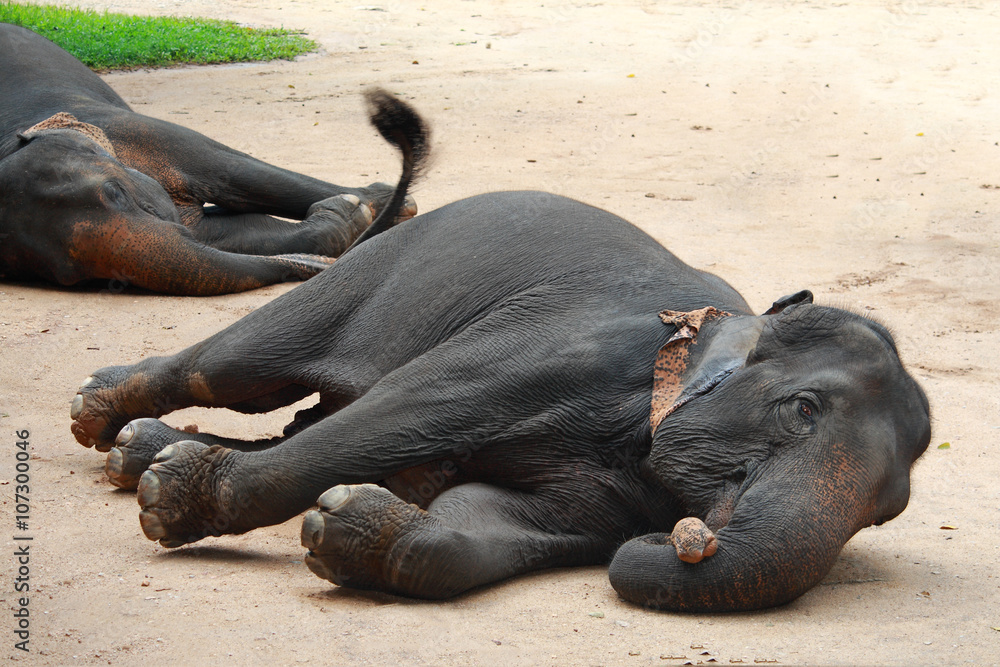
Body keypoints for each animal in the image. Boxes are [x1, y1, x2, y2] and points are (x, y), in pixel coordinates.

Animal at [0, 23, 415, 295]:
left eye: (115, 192)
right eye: (68, 276)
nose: (319, 269)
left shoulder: (129, 128)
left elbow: (231, 170)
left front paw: (380, 204)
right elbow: (233, 234)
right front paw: (349, 213)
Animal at [69, 92, 931, 612]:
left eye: (889, 510)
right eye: (803, 409)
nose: (687, 535)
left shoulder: (608, 492)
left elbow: (496, 519)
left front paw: (344, 526)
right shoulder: (550, 351)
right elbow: (403, 413)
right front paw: (173, 504)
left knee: (295, 416)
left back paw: (140, 454)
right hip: (365, 279)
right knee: (238, 372)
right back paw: (105, 418)